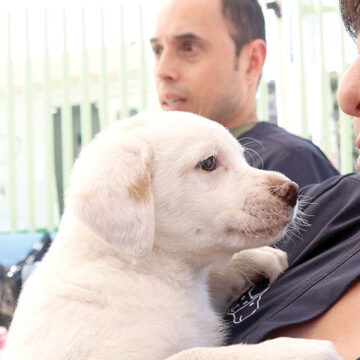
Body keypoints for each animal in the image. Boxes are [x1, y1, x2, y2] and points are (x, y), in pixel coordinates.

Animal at [3, 111, 340, 358]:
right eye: (209, 163)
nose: (293, 191)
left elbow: (216, 277)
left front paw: (256, 258)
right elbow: (198, 354)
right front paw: (294, 350)